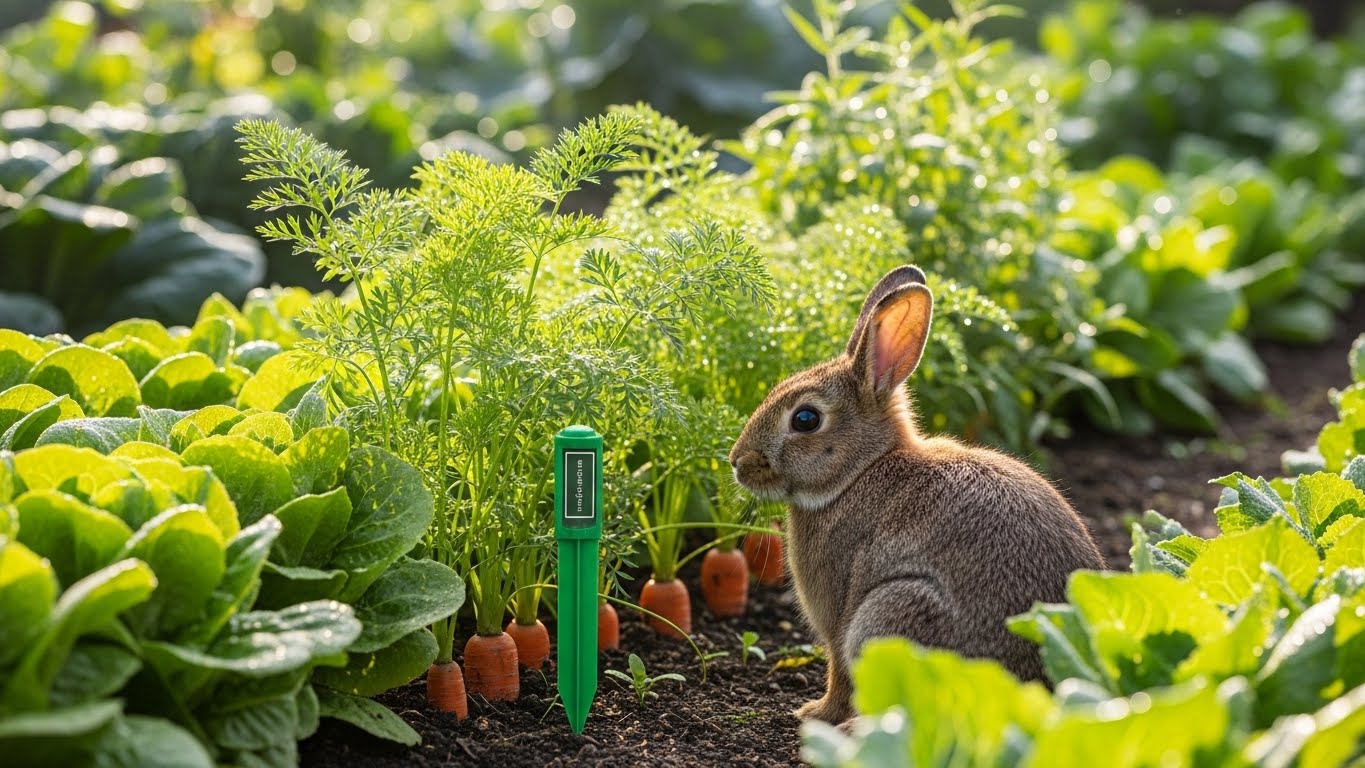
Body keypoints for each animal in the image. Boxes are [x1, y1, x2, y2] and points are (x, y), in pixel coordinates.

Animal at [727, 265, 1106, 725]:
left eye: (805, 419)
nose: (737, 462)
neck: (861, 470)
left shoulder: (839, 620)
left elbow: (838, 671)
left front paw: (815, 713)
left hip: (892, 612)